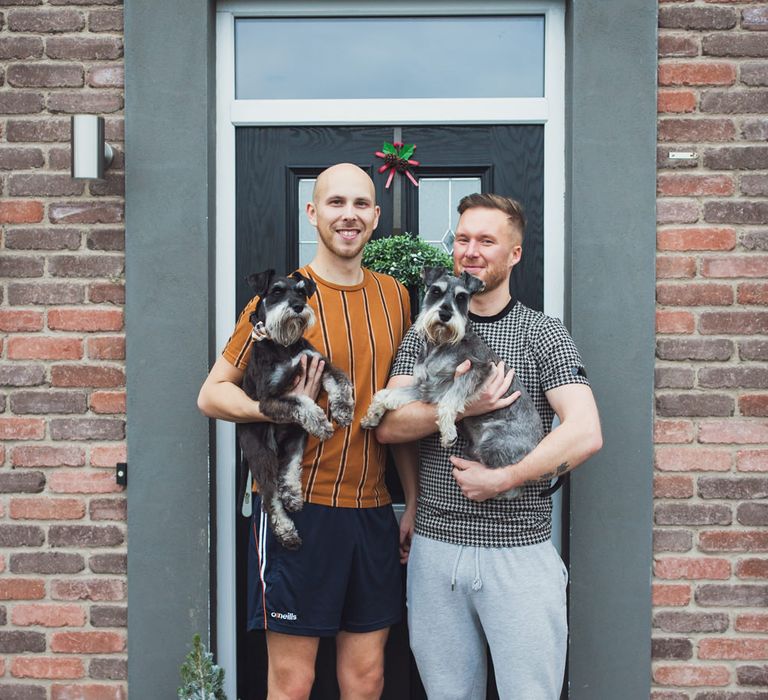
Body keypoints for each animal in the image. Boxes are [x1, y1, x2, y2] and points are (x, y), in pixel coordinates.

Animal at [238, 270, 356, 548]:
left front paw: (343, 409)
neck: (284, 346)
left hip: (295, 438)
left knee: (290, 468)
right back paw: (286, 532)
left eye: (302, 292)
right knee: (270, 496)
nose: (298, 307)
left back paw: (292, 495)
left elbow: (340, 381)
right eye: (277, 291)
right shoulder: (269, 398)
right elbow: (301, 401)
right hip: (262, 454)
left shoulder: (320, 363)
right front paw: (322, 423)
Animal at [364, 266, 548, 500]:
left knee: (511, 480)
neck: (439, 345)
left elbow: (448, 402)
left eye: (461, 297)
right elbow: (386, 394)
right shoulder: (425, 388)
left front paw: (448, 433)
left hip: (493, 443)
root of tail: (538, 444)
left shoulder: (475, 370)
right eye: (435, 291)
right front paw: (372, 415)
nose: (445, 315)